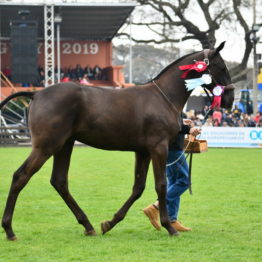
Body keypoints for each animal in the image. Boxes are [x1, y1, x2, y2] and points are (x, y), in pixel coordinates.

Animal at [0, 42, 235, 241]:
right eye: (222, 67)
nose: (230, 99)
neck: (162, 97)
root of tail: (36, 95)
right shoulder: (158, 148)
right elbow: (161, 185)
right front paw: (169, 226)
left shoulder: (143, 151)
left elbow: (138, 188)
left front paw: (110, 222)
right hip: (46, 146)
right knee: (21, 176)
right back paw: (9, 230)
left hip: (64, 145)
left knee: (59, 181)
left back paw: (88, 225)